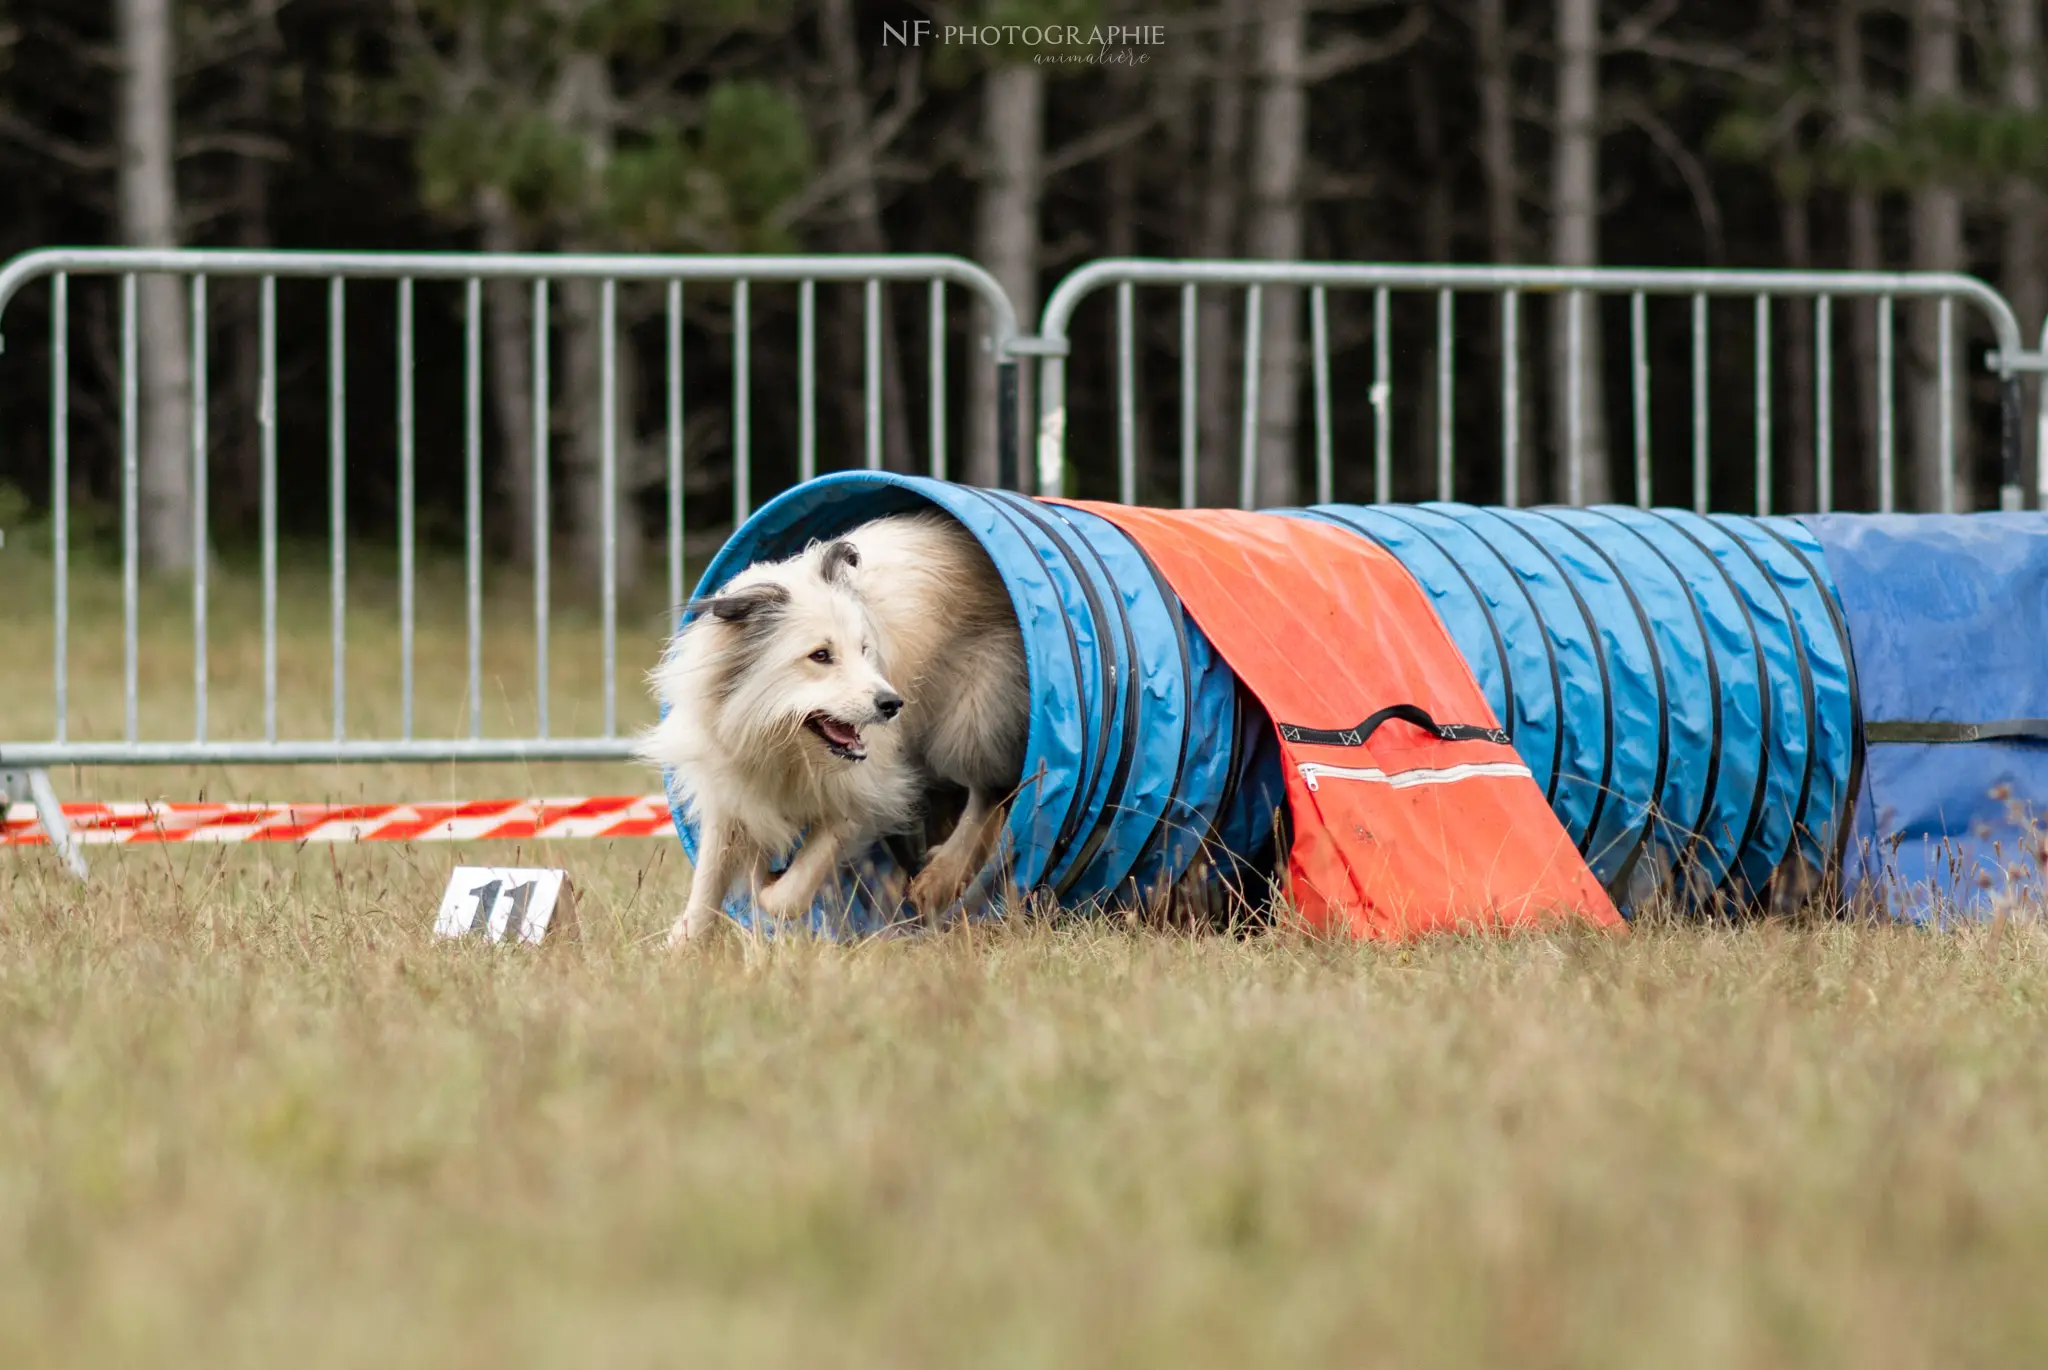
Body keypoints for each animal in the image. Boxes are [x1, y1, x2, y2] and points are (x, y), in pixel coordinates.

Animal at [634, 507, 1024, 946]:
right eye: (820, 655)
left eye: (864, 649)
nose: (892, 705)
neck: (782, 739)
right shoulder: (730, 791)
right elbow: (707, 879)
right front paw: (680, 946)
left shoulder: (870, 786)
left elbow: (790, 891)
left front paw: (768, 885)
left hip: (972, 713)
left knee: (990, 791)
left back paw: (941, 875)